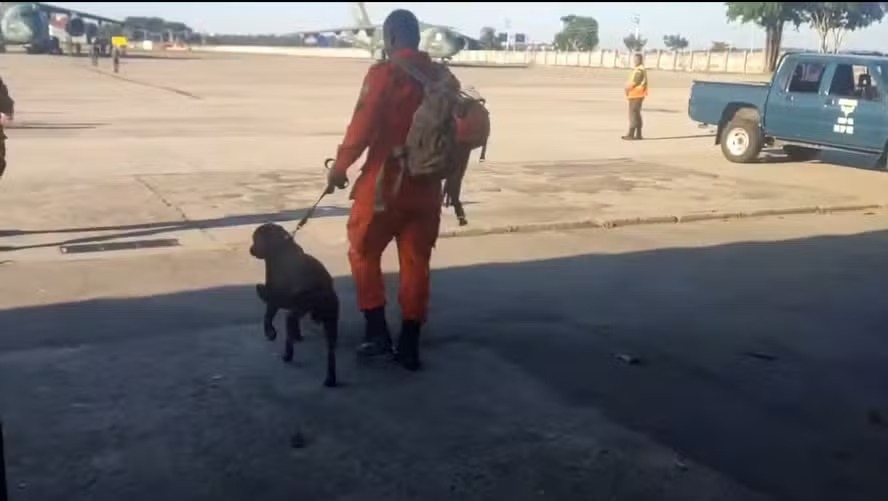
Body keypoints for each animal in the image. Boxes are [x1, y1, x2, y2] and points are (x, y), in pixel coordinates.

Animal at [250, 223, 340, 386]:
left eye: (255, 239)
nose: (251, 249)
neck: (281, 244)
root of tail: (322, 287)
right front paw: (298, 335)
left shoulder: (274, 295)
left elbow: (268, 315)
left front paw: (270, 332)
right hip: (331, 319)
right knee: (331, 351)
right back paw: (330, 378)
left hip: (299, 308)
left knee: (289, 330)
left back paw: (288, 355)